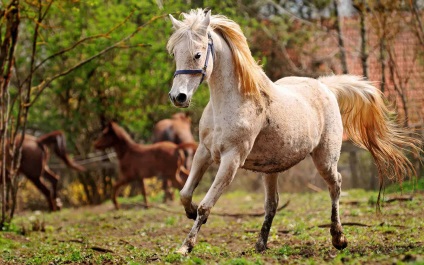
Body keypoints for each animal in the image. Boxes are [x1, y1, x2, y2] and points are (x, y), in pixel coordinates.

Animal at [166, 8, 418, 254]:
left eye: (198, 54)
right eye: (175, 53)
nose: (178, 97)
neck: (232, 102)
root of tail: (325, 86)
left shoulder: (232, 159)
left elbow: (206, 206)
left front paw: (185, 247)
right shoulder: (204, 152)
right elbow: (185, 194)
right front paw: (189, 212)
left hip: (325, 159)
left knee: (335, 185)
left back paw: (338, 238)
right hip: (271, 169)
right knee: (272, 203)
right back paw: (261, 244)